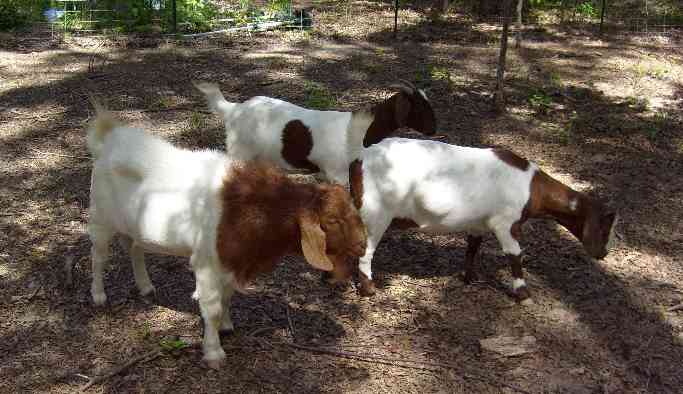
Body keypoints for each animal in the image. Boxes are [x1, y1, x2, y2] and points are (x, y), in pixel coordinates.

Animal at [88, 105, 372, 370]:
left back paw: (145, 286)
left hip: (132, 226)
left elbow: (226, 298)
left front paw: (226, 326)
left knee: (134, 249)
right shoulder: (207, 263)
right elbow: (212, 307)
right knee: (98, 257)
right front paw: (214, 352)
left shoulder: (231, 261)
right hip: (100, 219)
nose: (362, 245)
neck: (254, 207)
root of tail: (111, 138)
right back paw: (98, 296)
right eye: (332, 220)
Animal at [192, 81, 438, 185]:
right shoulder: (337, 174)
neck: (358, 130)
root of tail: (234, 109)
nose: (434, 129)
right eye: (419, 107)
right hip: (239, 151)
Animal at [350, 137, 616, 300]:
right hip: (376, 213)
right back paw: (368, 289)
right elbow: (515, 254)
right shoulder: (505, 223)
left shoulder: (478, 223)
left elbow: (472, 247)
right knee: (366, 251)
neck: (531, 186)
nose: (602, 254)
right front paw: (523, 294)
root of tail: (361, 158)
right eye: (604, 228)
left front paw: (470, 278)